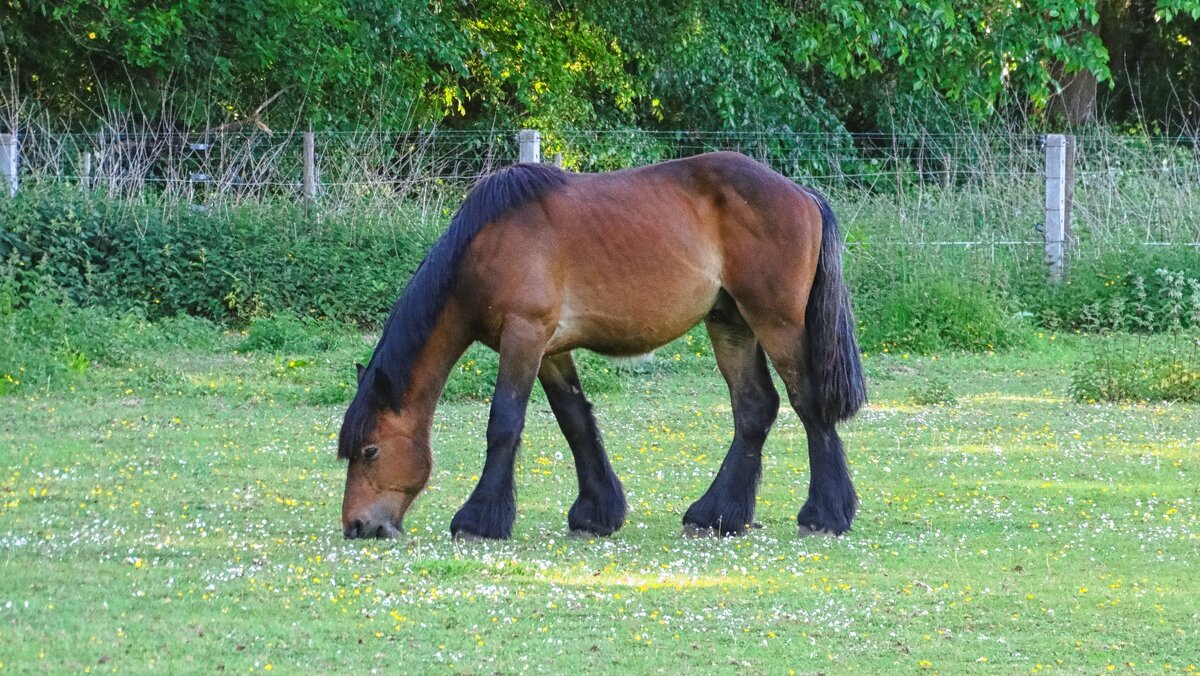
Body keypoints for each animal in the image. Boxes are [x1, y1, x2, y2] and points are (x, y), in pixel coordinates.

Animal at [333, 151, 868, 540]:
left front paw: (479, 520)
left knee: (808, 403)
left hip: (777, 322)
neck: (485, 246)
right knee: (755, 408)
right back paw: (716, 515)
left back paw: (825, 514)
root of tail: (802, 193)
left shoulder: (524, 335)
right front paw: (596, 513)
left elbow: (504, 423)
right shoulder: (550, 349)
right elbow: (576, 422)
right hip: (730, 322)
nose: (358, 526)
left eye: (371, 450)